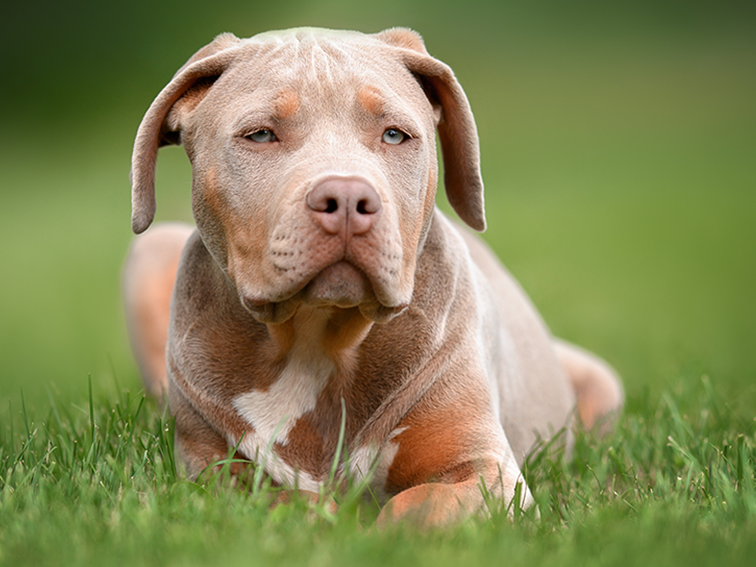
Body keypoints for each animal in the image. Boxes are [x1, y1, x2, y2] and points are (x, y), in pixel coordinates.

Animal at [122, 28, 620, 532]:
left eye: (394, 134)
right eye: (260, 134)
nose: (345, 198)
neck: (316, 341)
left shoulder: (487, 473)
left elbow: (415, 507)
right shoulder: (211, 475)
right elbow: (277, 500)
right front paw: (322, 515)